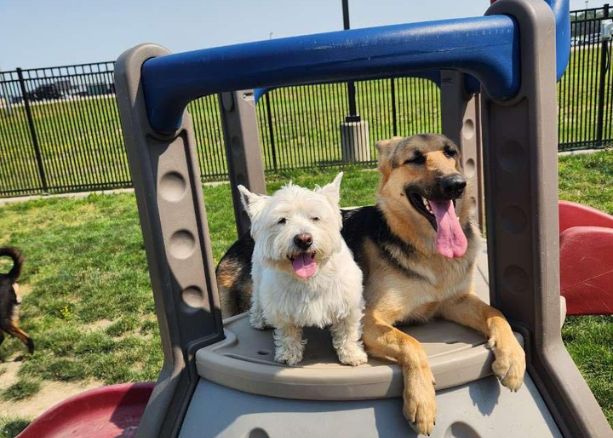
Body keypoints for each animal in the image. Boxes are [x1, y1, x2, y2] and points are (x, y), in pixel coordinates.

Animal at [237, 174, 366, 366]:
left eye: (315, 218)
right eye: (282, 220)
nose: (304, 239)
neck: (309, 279)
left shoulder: (348, 302)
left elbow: (347, 331)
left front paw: (352, 354)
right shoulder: (281, 308)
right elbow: (287, 333)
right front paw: (289, 354)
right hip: (258, 276)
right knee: (257, 299)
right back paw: (259, 319)